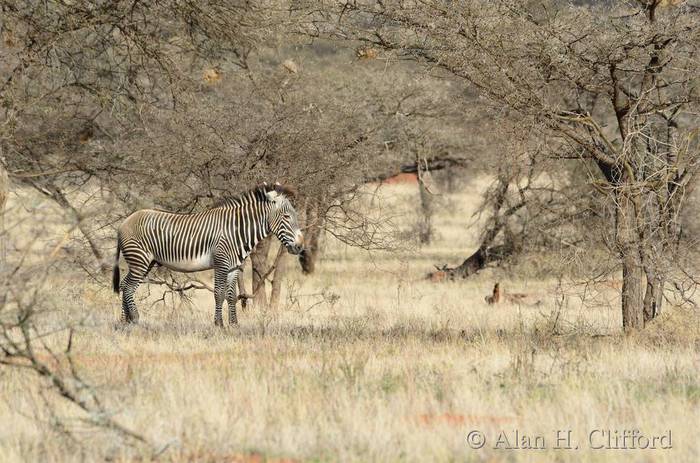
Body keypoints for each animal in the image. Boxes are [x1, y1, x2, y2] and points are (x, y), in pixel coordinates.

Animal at [112, 184, 304, 326]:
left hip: (146, 262)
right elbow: (219, 293)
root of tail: (124, 222)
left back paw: (124, 321)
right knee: (128, 287)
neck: (236, 230)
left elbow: (231, 295)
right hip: (140, 260)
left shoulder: (233, 267)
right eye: (287, 216)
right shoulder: (221, 263)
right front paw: (219, 324)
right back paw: (135, 319)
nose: (300, 246)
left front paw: (234, 324)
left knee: (124, 285)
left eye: (294, 215)